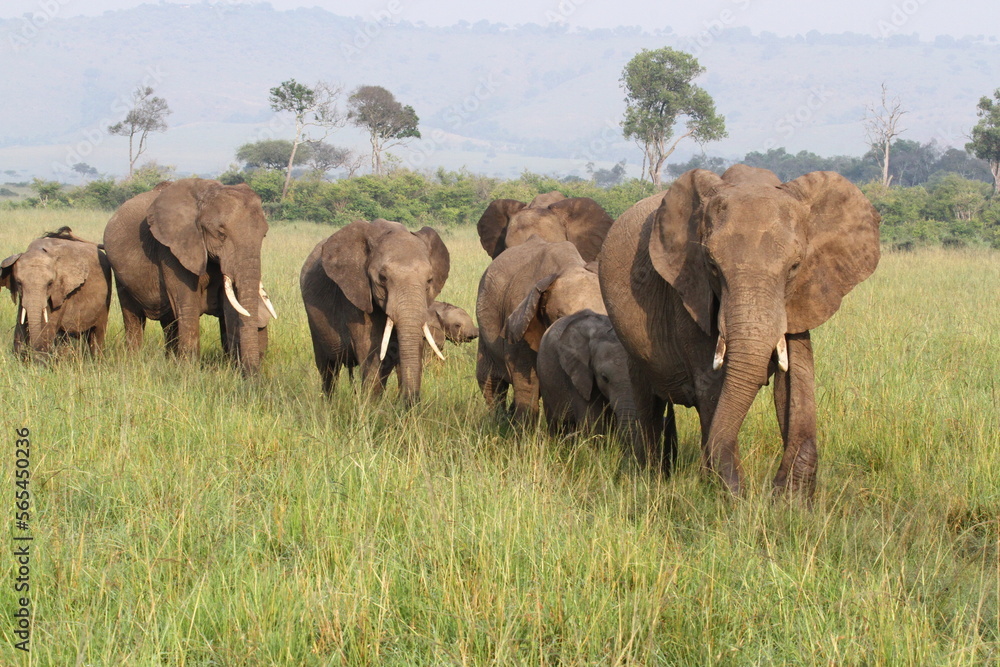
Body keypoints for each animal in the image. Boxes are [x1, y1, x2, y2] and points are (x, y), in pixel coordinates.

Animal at [102, 178, 276, 375]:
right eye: (221, 234)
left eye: (264, 235)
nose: (254, 376)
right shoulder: (172, 249)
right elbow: (188, 304)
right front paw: (190, 372)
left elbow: (229, 307)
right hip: (119, 272)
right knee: (133, 317)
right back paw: (134, 360)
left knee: (169, 323)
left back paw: (170, 362)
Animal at [300, 218, 450, 403]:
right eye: (383, 278)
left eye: (429, 280)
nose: (411, 403)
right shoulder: (355, 294)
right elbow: (371, 352)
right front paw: (370, 408)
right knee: (328, 368)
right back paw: (328, 405)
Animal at [599, 165, 880, 497]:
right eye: (712, 265)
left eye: (795, 267)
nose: (757, 494)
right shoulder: (688, 288)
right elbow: (711, 384)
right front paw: (731, 498)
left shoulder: (803, 294)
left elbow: (796, 379)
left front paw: (790, 500)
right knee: (647, 399)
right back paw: (652, 478)